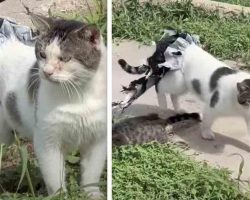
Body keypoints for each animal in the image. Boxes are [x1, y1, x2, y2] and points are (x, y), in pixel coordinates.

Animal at [0, 12, 106, 198]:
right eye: (42, 54)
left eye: (65, 58)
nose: (46, 72)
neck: (79, 95)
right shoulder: (46, 140)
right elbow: (55, 177)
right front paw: (59, 196)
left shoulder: (98, 139)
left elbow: (91, 174)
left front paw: (92, 194)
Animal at [118, 32, 250, 141]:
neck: (239, 107)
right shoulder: (212, 106)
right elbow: (207, 121)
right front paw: (206, 133)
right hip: (178, 80)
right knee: (159, 86)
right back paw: (163, 106)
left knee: (173, 95)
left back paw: (179, 109)